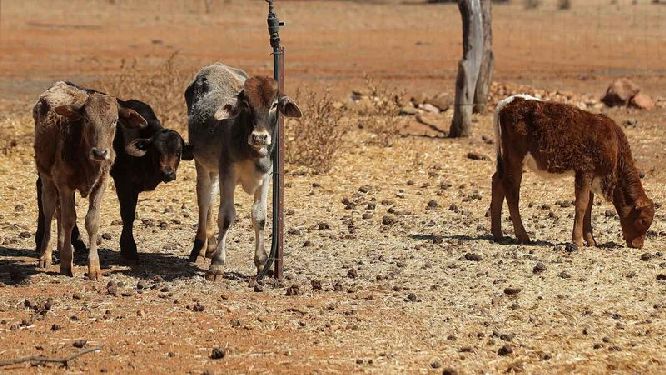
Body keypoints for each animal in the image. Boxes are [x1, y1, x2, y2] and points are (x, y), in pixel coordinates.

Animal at [34, 81, 146, 280]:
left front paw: (93, 266)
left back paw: (62, 246)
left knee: (59, 212)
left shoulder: (101, 183)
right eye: (86, 120)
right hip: (46, 178)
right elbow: (69, 219)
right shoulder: (64, 184)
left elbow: (91, 221)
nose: (100, 153)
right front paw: (66, 263)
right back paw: (45, 255)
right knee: (49, 212)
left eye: (114, 121)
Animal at [185, 63, 302, 280]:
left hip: (215, 169)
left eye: (274, 104)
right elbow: (226, 216)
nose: (259, 137)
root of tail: (214, 66)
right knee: (204, 199)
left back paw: (211, 245)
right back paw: (200, 245)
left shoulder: (266, 177)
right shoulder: (228, 174)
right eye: (246, 104)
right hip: (202, 163)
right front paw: (217, 264)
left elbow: (259, 216)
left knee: (211, 196)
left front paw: (262, 261)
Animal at [488, 95, 652, 250]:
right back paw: (523, 236)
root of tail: (509, 101)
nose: (639, 245)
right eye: (643, 220)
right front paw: (577, 241)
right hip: (514, 159)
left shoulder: (591, 176)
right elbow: (582, 204)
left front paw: (591, 240)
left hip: (505, 160)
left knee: (497, 181)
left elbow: (589, 206)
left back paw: (498, 234)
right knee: (511, 192)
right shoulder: (585, 170)